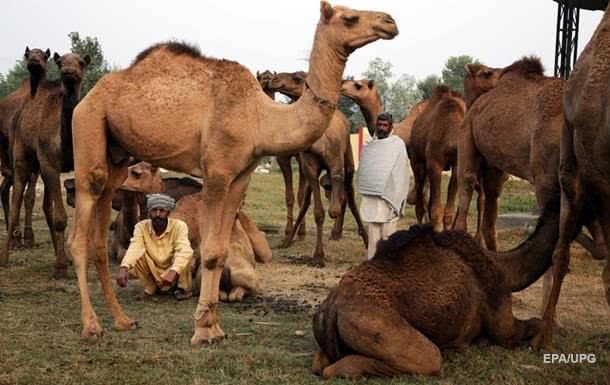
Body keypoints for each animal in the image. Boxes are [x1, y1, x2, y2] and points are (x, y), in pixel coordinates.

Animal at [67, 1, 400, 344]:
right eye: (350, 17)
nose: (390, 22)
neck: (260, 117)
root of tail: (88, 97)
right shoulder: (216, 171)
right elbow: (211, 250)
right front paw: (202, 330)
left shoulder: (241, 176)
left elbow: (223, 249)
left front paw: (214, 327)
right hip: (88, 127)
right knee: (79, 233)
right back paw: (91, 326)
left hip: (116, 156)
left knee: (100, 232)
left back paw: (122, 320)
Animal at [312, 195, 560, 378]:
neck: (506, 267)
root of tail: (333, 308)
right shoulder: (501, 315)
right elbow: (530, 326)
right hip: (373, 324)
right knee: (429, 358)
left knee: (320, 363)